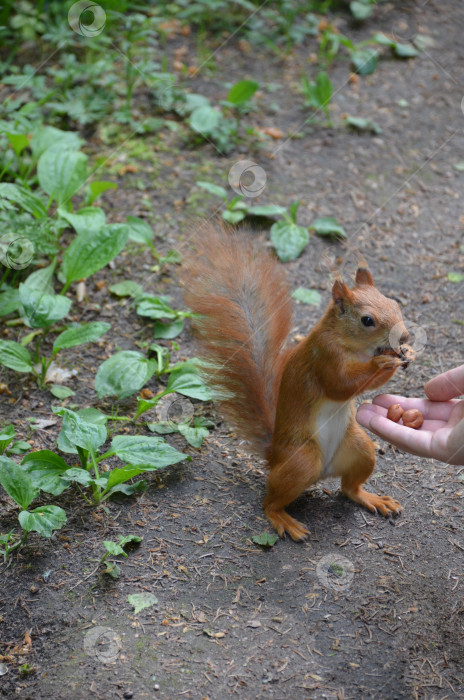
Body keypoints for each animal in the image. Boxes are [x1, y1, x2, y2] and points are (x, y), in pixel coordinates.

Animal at [183, 224, 416, 540]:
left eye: (395, 304)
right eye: (367, 320)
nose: (403, 336)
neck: (354, 346)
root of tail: (275, 456)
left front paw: (407, 352)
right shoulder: (324, 356)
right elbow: (340, 385)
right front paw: (381, 363)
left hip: (360, 448)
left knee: (349, 488)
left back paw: (372, 499)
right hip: (303, 458)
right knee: (269, 502)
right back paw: (285, 521)